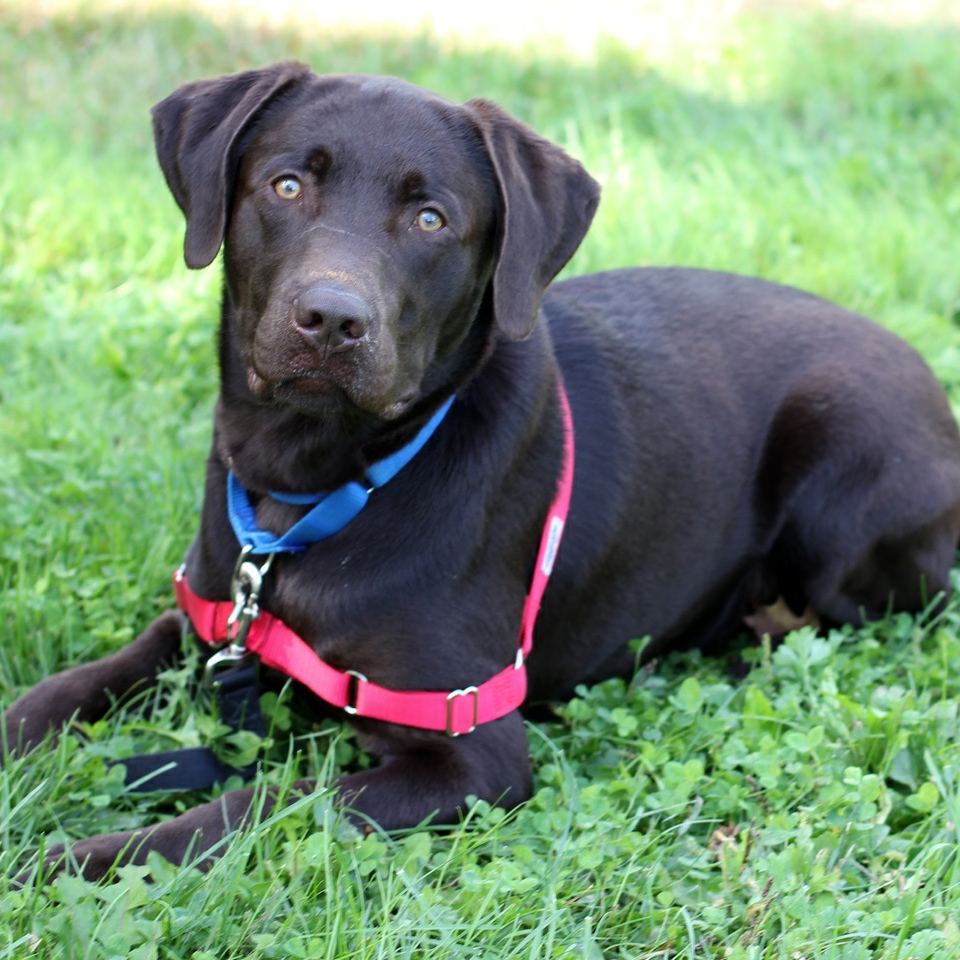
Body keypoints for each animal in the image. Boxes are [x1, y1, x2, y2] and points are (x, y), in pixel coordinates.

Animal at [7, 62, 960, 884]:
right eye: (285, 187)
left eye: (432, 219)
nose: (331, 319)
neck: (312, 484)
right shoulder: (208, 621)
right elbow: (63, 690)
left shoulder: (471, 753)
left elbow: (252, 805)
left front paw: (69, 860)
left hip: (843, 473)